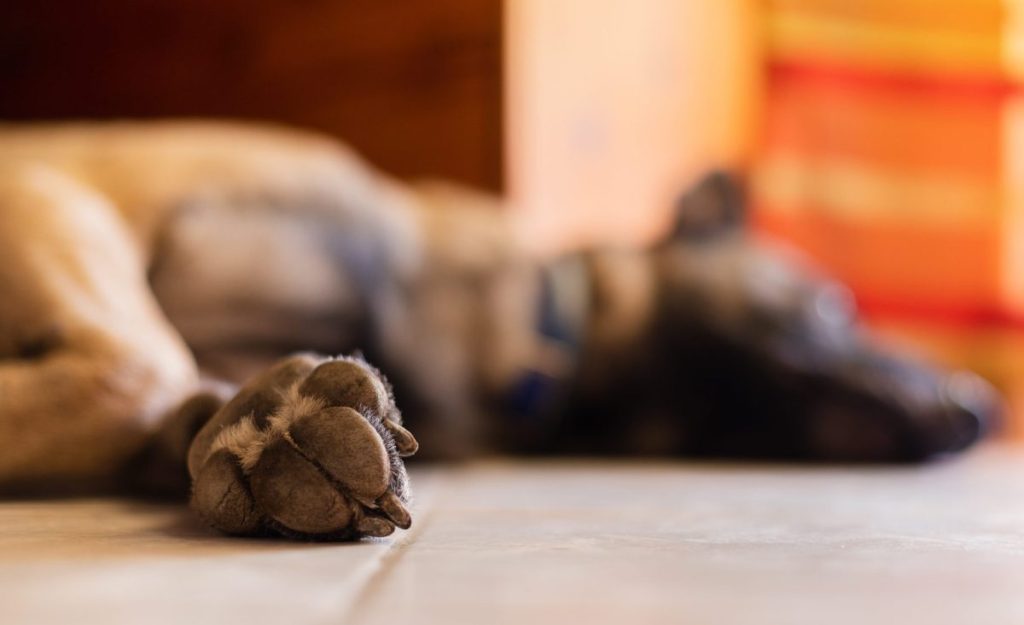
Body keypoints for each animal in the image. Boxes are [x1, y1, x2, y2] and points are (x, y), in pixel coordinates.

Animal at [0, 119, 999, 536]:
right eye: (831, 302)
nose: (979, 409)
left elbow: (176, 398)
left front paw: (266, 430)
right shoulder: (48, 189)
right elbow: (135, 369)